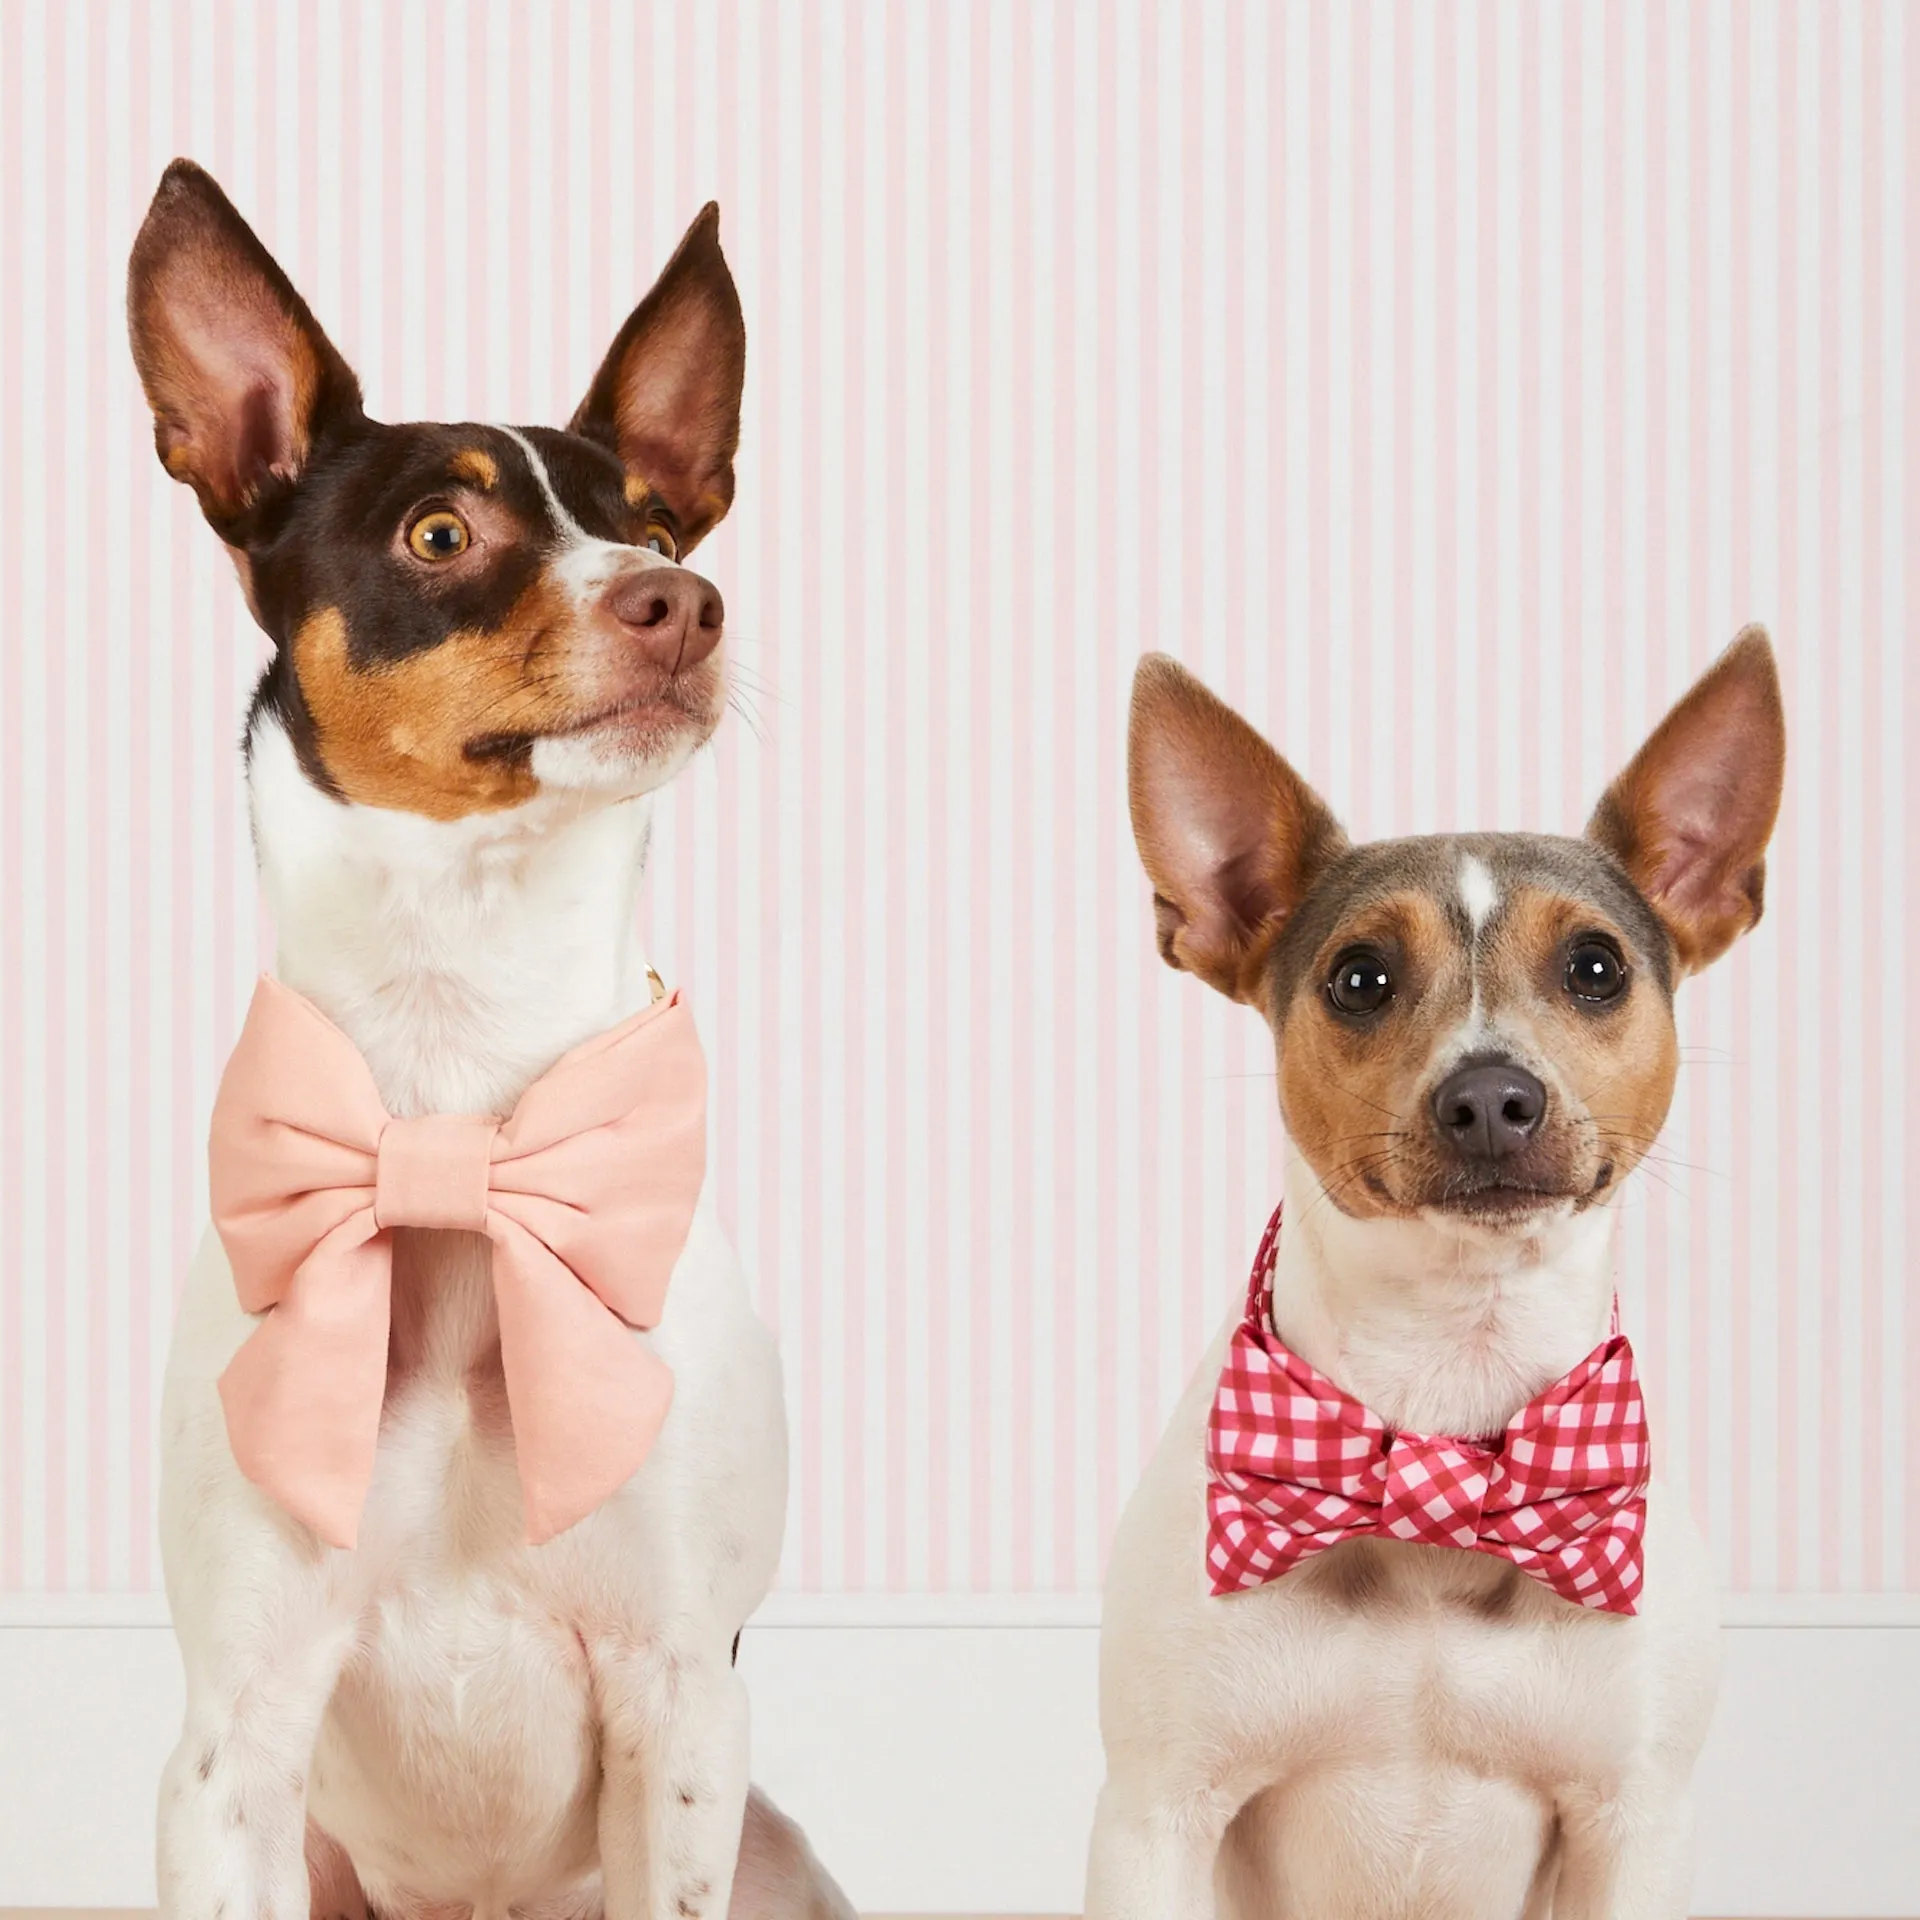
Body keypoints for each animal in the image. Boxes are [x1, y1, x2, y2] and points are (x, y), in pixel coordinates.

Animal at [131, 161, 852, 1920]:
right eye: (440, 534)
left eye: (652, 528)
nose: (686, 603)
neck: (455, 1103)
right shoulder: (232, 1744)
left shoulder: (680, 1711)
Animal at [1090, 637, 1789, 1912]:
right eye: (1359, 978)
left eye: (1596, 966)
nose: (1491, 1098)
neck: (1451, 1381)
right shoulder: (1154, 1819)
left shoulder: (1633, 1825)